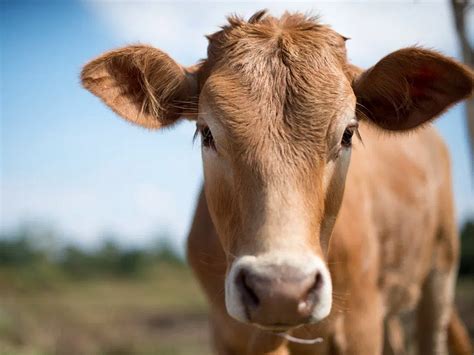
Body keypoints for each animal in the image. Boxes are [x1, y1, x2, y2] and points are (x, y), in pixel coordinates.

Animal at [81, 9, 474, 354]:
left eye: (348, 133)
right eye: (207, 133)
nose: (281, 290)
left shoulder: (361, 325)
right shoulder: (224, 332)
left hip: (440, 270)